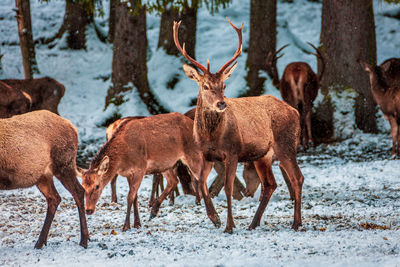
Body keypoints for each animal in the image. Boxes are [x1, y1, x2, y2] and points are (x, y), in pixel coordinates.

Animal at [0, 110, 88, 249]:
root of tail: (73, 128)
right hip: (43, 176)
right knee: (54, 197)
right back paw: (40, 242)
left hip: (64, 163)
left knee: (78, 191)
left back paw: (84, 240)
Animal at [81, 112, 217, 231]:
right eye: (83, 187)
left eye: (97, 186)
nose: (88, 210)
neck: (123, 159)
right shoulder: (129, 173)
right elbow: (135, 197)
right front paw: (137, 223)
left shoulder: (140, 168)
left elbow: (130, 197)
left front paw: (126, 226)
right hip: (165, 163)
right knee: (173, 181)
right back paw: (154, 211)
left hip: (192, 154)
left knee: (201, 179)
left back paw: (215, 218)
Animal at [173, 18, 304, 234]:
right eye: (205, 86)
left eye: (224, 85)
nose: (221, 104)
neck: (212, 137)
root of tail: (295, 111)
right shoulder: (205, 154)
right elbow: (201, 184)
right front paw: (215, 218)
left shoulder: (232, 151)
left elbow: (228, 188)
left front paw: (229, 225)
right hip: (262, 156)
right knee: (270, 184)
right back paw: (253, 223)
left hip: (286, 144)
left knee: (297, 178)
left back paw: (296, 223)